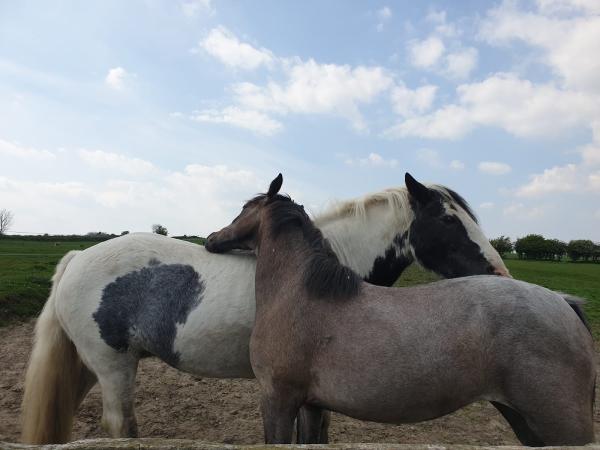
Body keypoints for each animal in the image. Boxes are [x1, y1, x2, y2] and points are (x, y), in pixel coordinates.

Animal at [19, 171, 506, 442]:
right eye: (448, 220)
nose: (500, 273)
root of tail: (78, 258)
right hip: (114, 367)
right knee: (121, 427)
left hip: (92, 367)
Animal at [205, 173, 596, 446]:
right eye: (450, 219)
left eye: (243, 209)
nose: (211, 238)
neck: (300, 290)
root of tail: (564, 303)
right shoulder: (312, 405)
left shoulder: (278, 400)